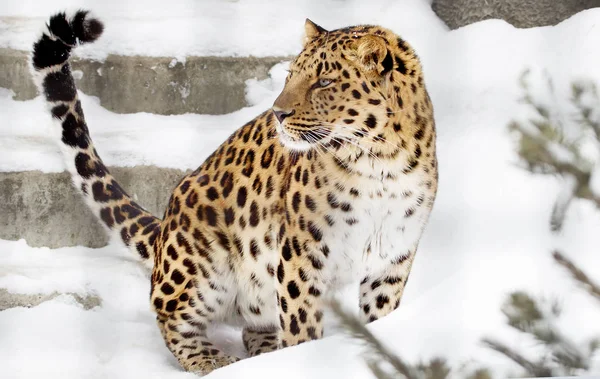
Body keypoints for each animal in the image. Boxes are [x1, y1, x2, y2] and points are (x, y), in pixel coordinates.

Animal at [30, 10, 438, 376]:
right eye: (291, 75)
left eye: (324, 82)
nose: (278, 113)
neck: (379, 164)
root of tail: (162, 233)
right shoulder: (301, 255)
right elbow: (302, 323)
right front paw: (304, 360)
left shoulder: (393, 257)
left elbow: (381, 315)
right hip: (203, 263)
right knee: (169, 314)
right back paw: (213, 361)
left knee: (251, 328)